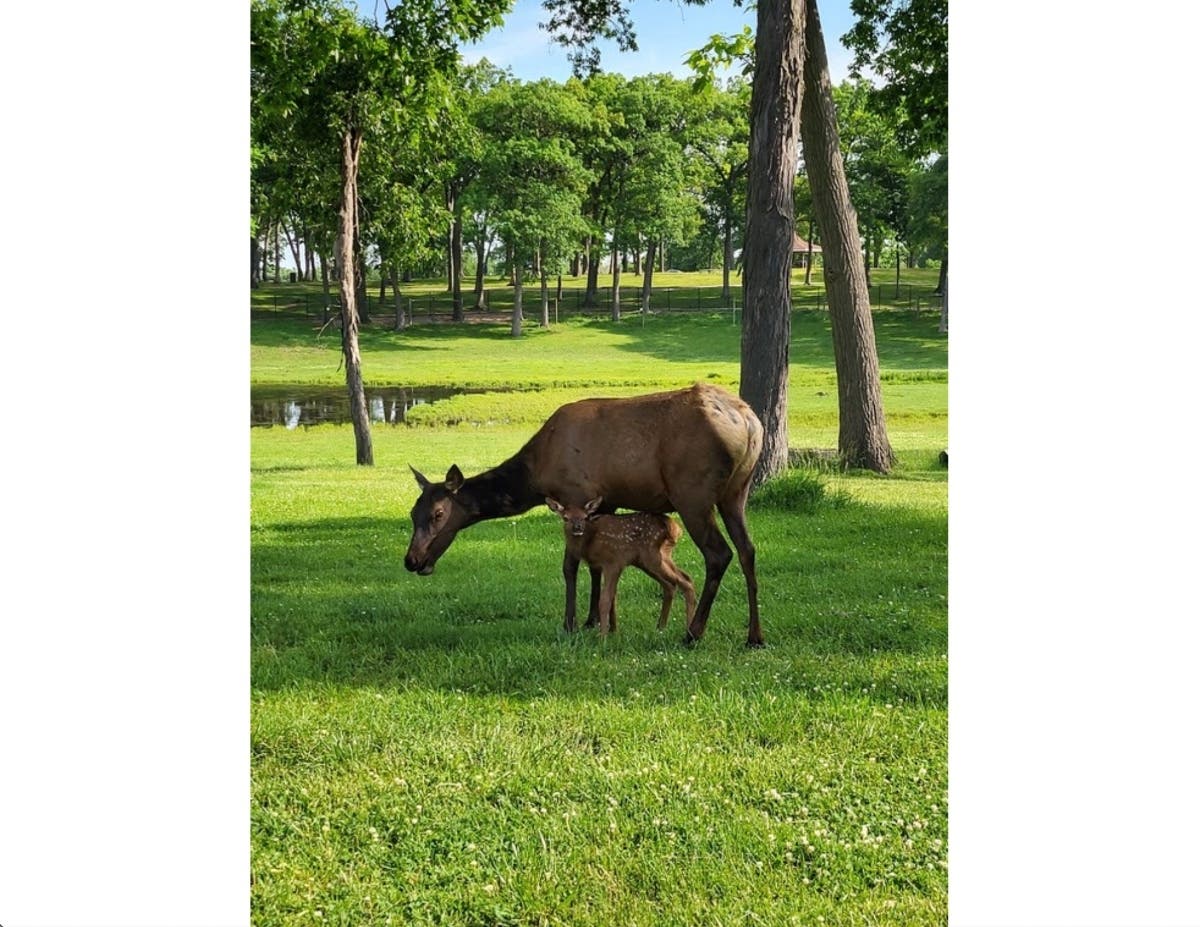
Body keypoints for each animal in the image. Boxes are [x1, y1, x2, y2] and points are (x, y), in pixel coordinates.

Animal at [545, 496, 696, 635]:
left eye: (585, 517)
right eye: (565, 518)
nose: (578, 527)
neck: (590, 544)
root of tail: (676, 529)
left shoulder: (612, 562)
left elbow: (605, 600)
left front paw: (603, 638)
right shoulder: (607, 565)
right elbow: (613, 597)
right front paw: (613, 631)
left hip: (652, 558)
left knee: (684, 582)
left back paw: (688, 631)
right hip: (653, 559)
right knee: (675, 582)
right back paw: (661, 627)